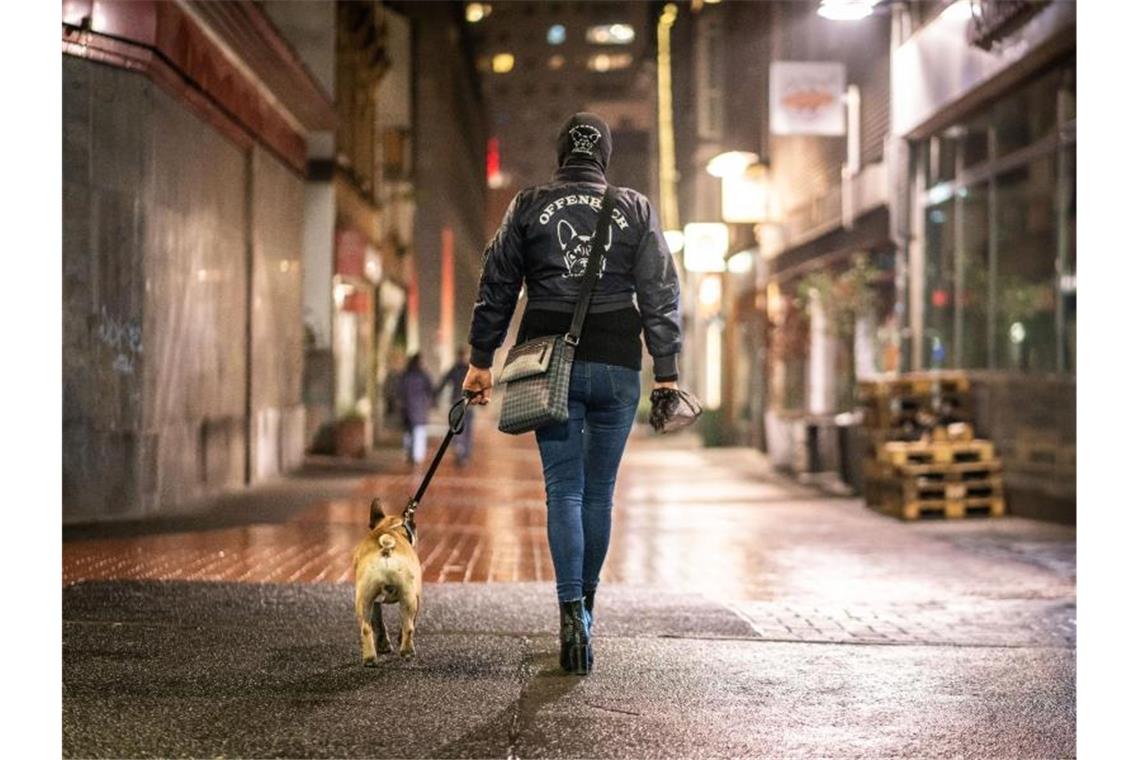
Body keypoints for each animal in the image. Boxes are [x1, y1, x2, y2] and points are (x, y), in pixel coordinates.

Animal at [351, 499, 424, 665]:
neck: (391, 527)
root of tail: (386, 550)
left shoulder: (375, 602)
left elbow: (378, 623)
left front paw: (384, 645)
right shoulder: (418, 597)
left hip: (365, 599)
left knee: (366, 627)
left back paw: (370, 658)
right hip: (409, 597)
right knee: (408, 626)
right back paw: (407, 651)